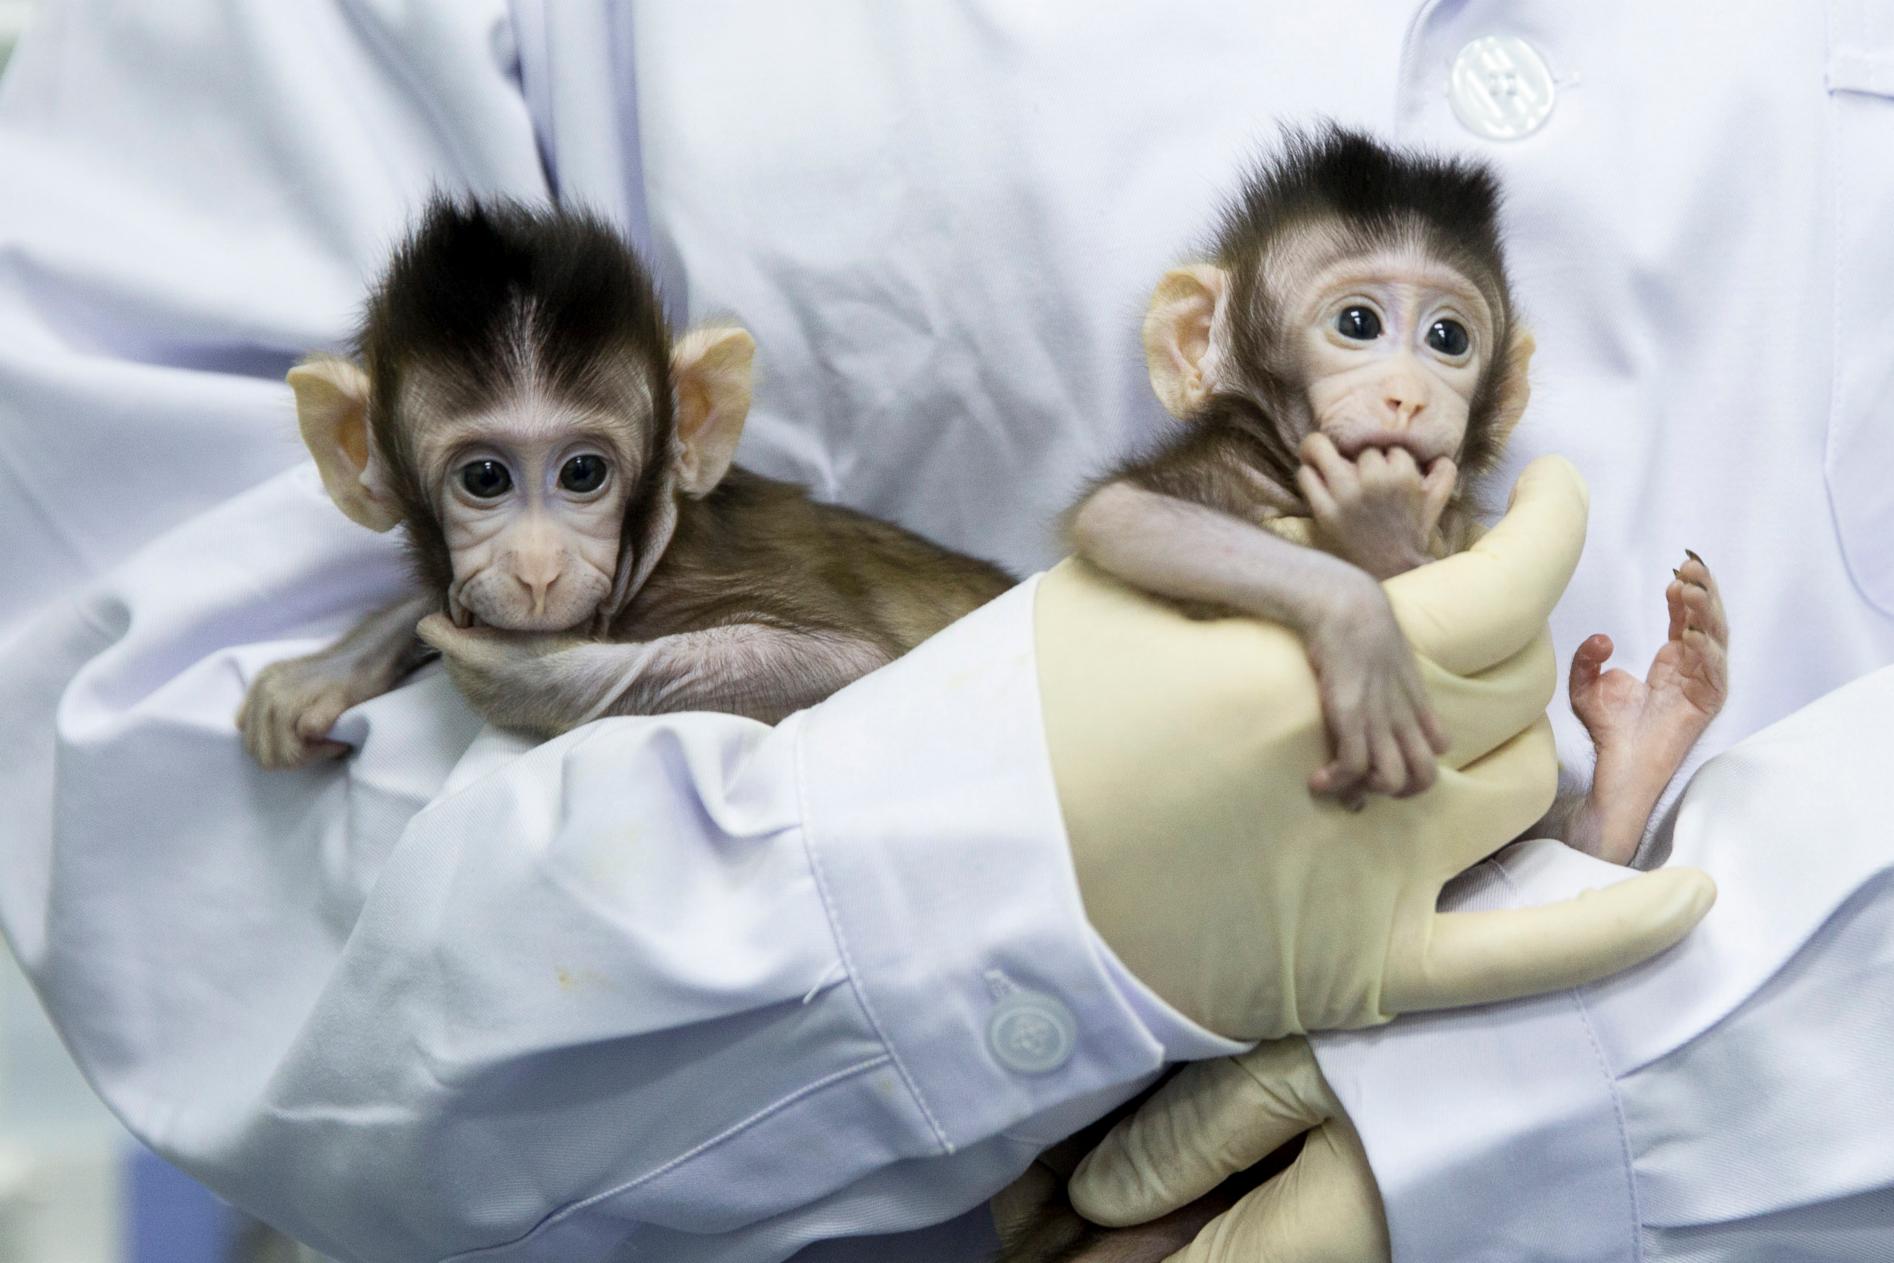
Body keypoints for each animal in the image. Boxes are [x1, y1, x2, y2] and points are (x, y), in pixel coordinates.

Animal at [238, 198, 1015, 767]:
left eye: (583, 472)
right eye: (485, 478)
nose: (538, 569)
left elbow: (856, 665)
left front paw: (531, 672)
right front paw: (333, 664)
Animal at [991, 126, 1729, 1263]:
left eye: (1447, 336)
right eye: (1356, 324)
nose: (1408, 393)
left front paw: (1386, 538)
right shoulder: (1213, 468)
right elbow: (1130, 519)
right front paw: (1364, 613)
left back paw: (1643, 746)